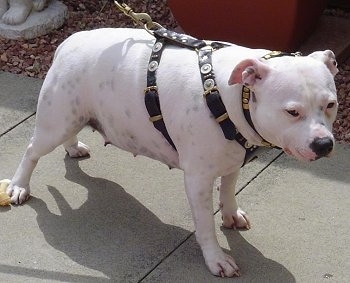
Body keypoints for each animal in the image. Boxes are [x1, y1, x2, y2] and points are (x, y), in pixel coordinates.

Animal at [6, 28, 340, 278]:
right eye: (292, 112)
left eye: (331, 105)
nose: (324, 145)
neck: (234, 95)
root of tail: (69, 41)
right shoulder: (198, 180)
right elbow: (205, 225)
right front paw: (216, 259)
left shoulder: (232, 159)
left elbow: (228, 190)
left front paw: (231, 214)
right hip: (54, 123)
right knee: (31, 151)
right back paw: (19, 185)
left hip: (72, 115)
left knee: (68, 135)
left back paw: (73, 147)